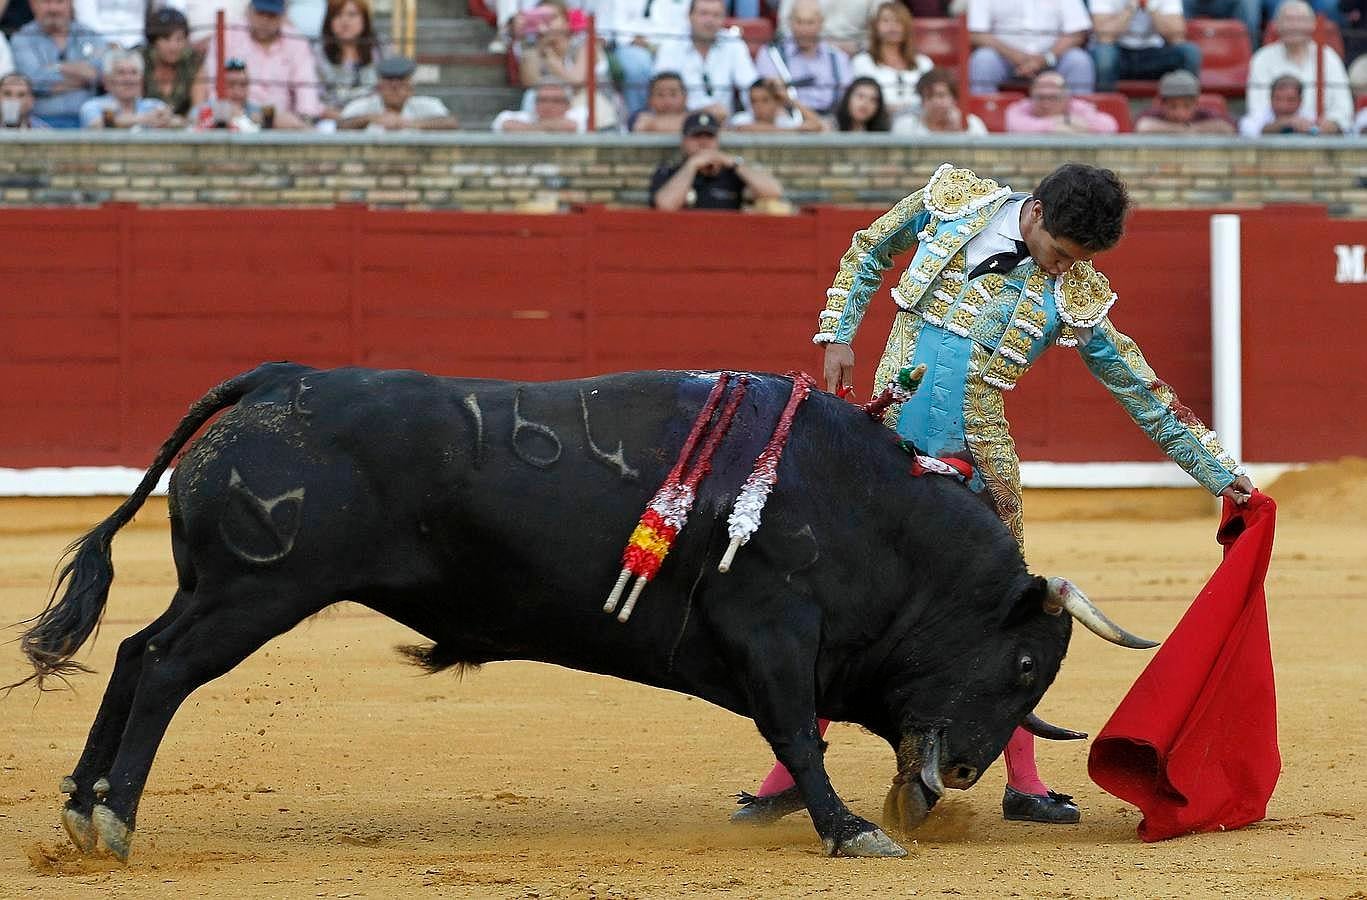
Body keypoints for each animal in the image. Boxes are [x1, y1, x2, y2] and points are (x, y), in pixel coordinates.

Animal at [16, 361, 1148, 858]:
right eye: (1022, 667)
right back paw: (114, 819)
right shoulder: (774, 633)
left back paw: (78, 802)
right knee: (165, 669)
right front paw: (849, 831)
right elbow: (797, 730)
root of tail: (275, 381)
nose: (961, 774)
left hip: (220, 590)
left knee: (134, 655)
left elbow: (804, 732)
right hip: (257, 590)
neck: (865, 510)